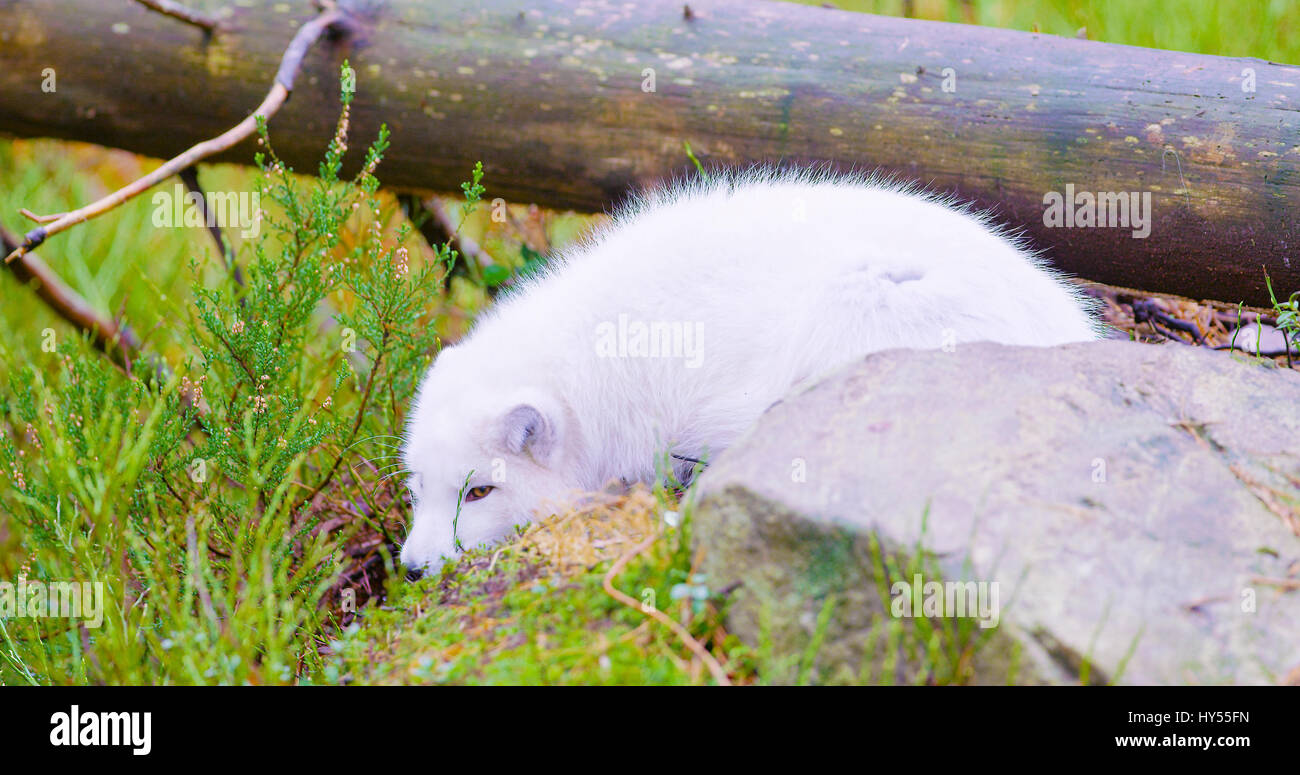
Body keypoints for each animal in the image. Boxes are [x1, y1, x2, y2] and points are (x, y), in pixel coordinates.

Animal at [395, 169, 1097, 569]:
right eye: (419, 487)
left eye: (479, 492)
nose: (412, 568)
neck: (596, 357)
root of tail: (1073, 332)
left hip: (853, 302)